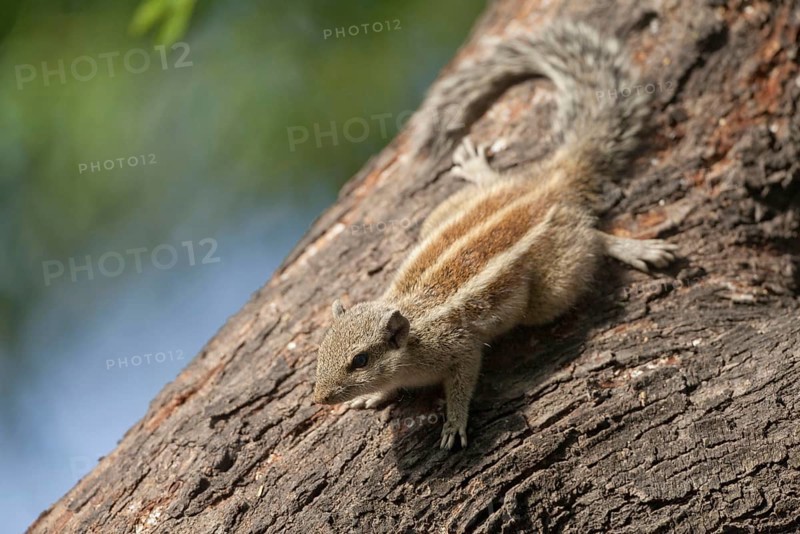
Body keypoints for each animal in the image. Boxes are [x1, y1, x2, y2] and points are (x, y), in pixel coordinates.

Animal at [313, 21, 678, 450]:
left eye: (360, 360)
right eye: (321, 349)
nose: (320, 398)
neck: (415, 324)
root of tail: (546, 184)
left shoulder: (460, 348)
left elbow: (462, 383)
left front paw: (454, 423)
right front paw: (375, 396)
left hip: (551, 286)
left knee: (592, 238)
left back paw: (631, 247)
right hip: (448, 210)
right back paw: (479, 170)